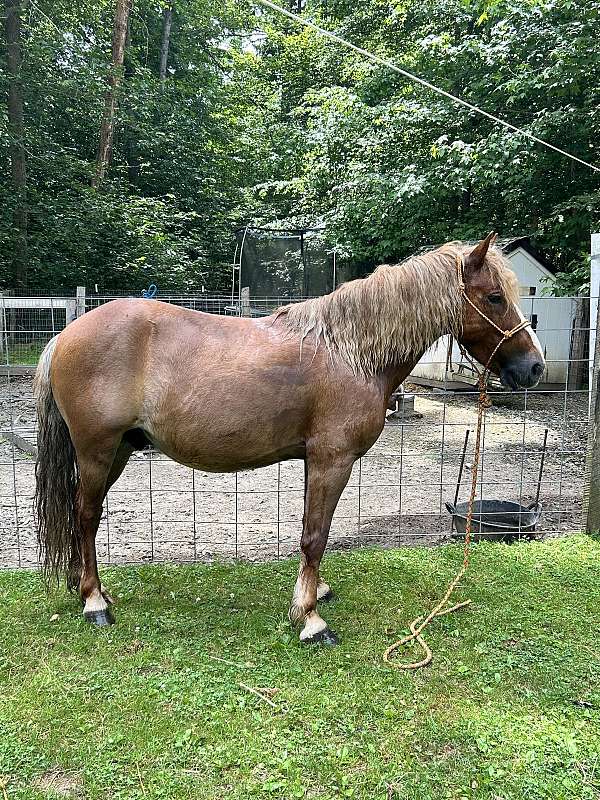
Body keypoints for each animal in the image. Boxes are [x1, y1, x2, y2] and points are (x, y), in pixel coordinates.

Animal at [34, 233, 545, 644]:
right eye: (495, 297)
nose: (534, 368)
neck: (351, 352)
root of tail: (66, 335)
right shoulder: (332, 460)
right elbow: (315, 536)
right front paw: (311, 619)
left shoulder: (312, 461)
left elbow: (310, 530)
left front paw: (314, 592)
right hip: (98, 451)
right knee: (85, 515)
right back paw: (94, 602)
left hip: (119, 450)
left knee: (84, 515)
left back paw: (93, 591)